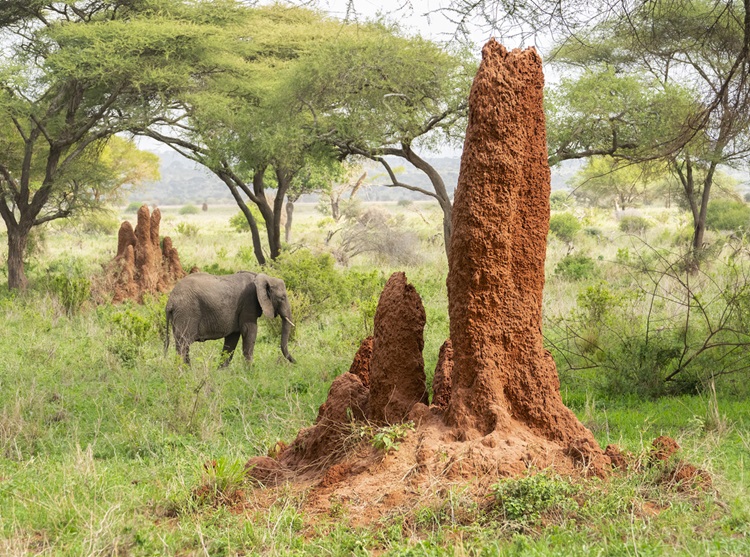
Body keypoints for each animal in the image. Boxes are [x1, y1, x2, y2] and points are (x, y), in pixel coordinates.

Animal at [164, 272, 296, 368]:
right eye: (282, 298)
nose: (296, 362)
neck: (261, 277)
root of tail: (170, 301)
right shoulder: (248, 303)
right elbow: (249, 331)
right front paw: (250, 371)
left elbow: (232, 339)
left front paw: (221, 372)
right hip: (186, 312)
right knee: (183, 344)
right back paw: (182, 373)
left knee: (183, 345)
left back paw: (187, 371)